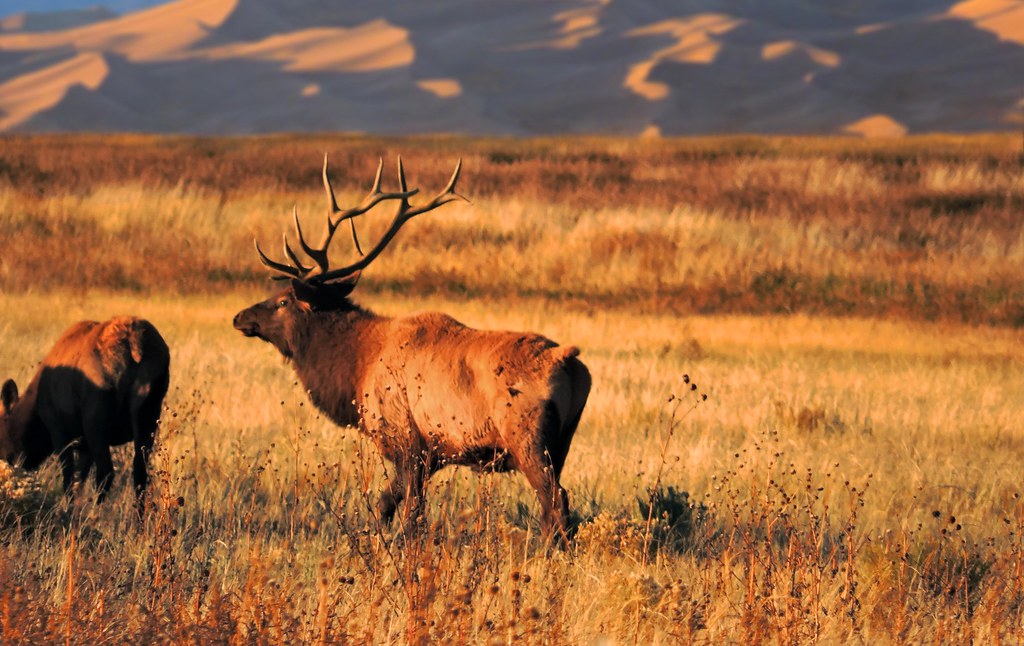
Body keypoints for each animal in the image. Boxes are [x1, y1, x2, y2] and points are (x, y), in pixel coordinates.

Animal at [0, 317, 170, 511]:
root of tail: (136, 344)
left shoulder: (58, 430)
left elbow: (68, 477)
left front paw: (67, 509)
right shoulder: (84, 444)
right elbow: (78, 480)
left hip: (95, 418)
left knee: (106, 472)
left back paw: (95, 513)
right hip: (149, 414)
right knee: (140, 475)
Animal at [233, 156, 591, 542]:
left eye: (282, 301)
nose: (239, 317)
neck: (356, 370)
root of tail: (568, 361)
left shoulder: (405, 438)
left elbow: (410, 513)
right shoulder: (430, 455)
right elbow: (385, 504)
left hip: (527, 436)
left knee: (554, 499)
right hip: (564, 439)